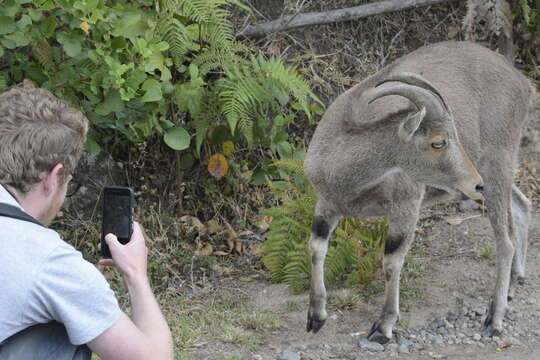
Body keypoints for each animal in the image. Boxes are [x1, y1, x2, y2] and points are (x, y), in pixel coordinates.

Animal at [304, 40, 536, 342]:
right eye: (439, 142)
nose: (475, 183)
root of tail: (522, 83)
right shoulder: (327, 204)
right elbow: (316, 247)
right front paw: (316, 316)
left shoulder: (406, 206)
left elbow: (392, 261)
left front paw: (383, 326)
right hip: (495, 172)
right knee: (522, 203)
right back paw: (513, 285)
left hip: (498, 162)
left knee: (504, 243)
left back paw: (494, 319)